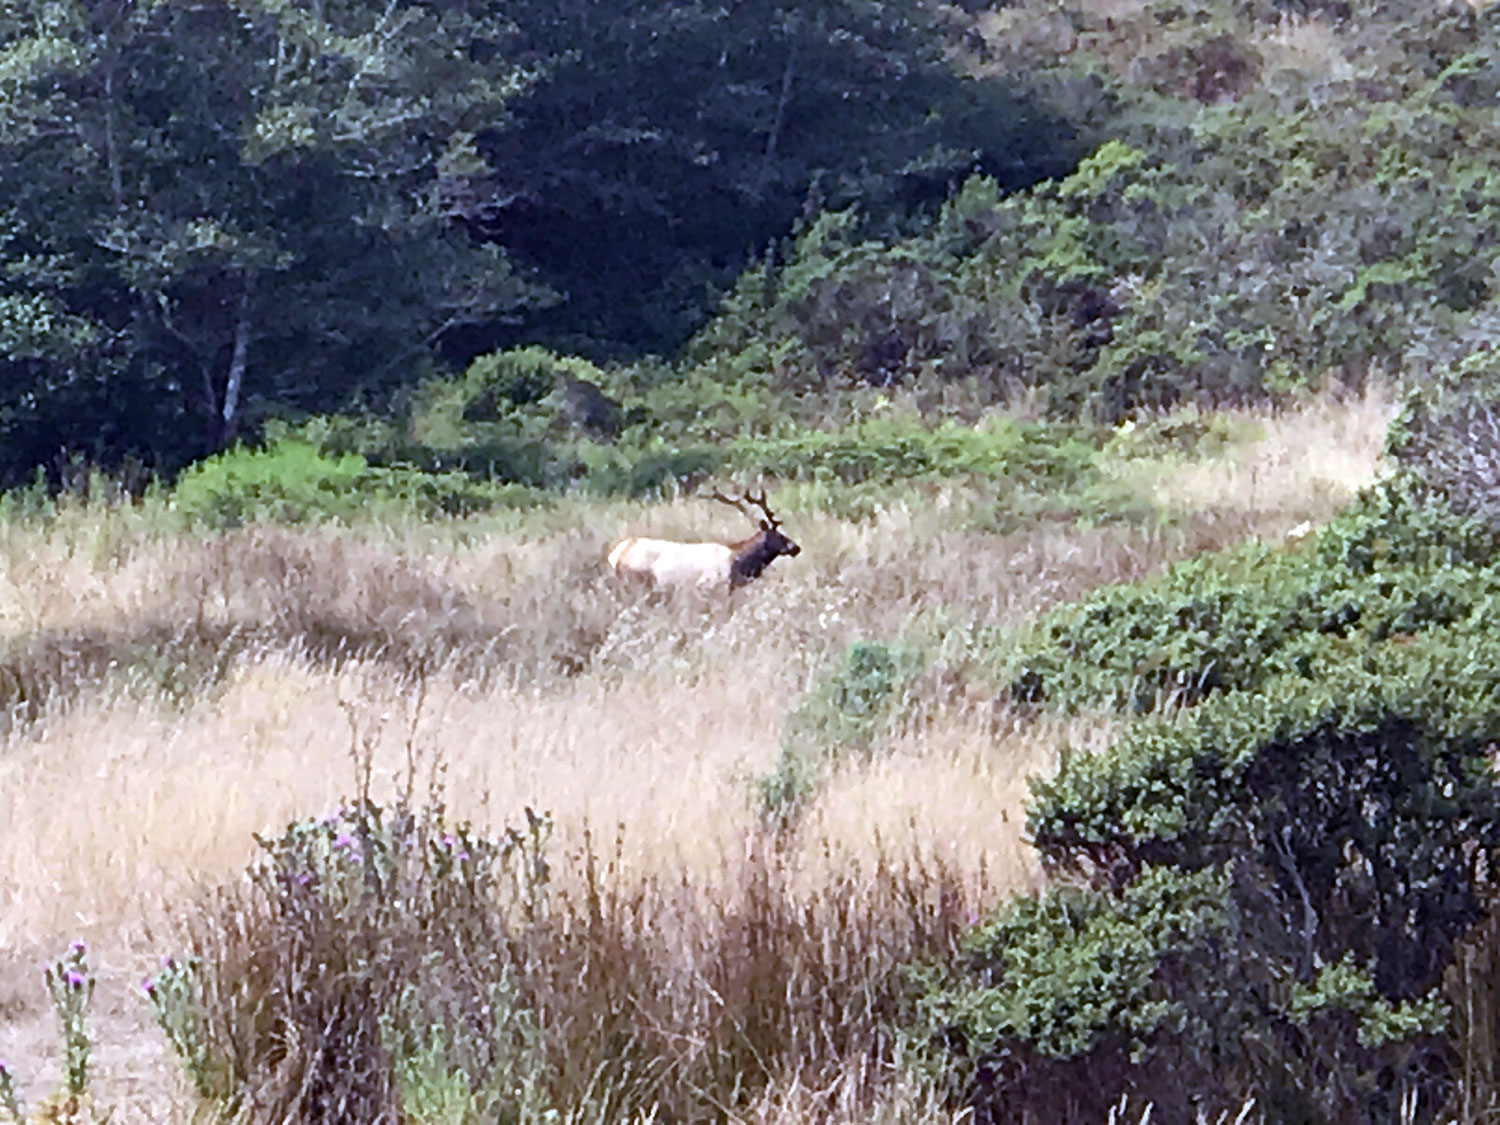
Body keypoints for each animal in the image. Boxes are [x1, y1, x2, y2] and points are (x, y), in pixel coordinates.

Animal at [606, 489, 804, 594]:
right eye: (779, 535)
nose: (796, 548)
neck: (739, 564)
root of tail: (616, 554)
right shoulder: (710, 586)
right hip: (635, 582)